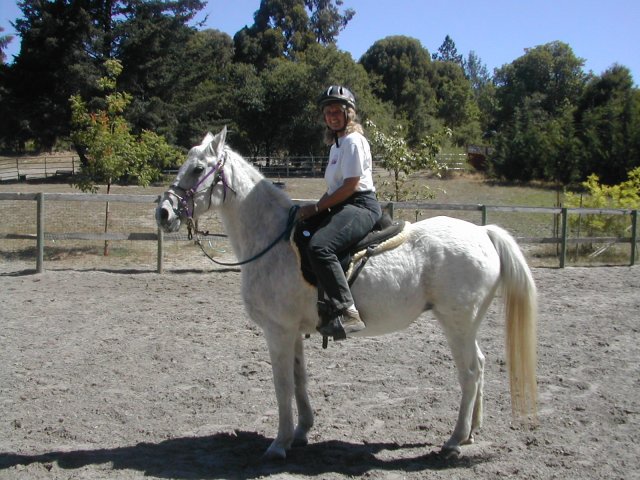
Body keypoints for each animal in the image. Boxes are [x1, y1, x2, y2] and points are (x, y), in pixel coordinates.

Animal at [156, 127, 538, 460]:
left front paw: (278, 444)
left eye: (198, 169)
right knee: (481, 366)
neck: (273, 241)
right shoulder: (294, 332)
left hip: (457, 324)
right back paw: (472, 431)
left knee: (470, 372)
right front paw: (301, 433)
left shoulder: (277, 331)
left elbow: (282, 386)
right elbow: (299, 380)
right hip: (467, 325)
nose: (163, 212)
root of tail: (484, 233)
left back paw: (454, 440)